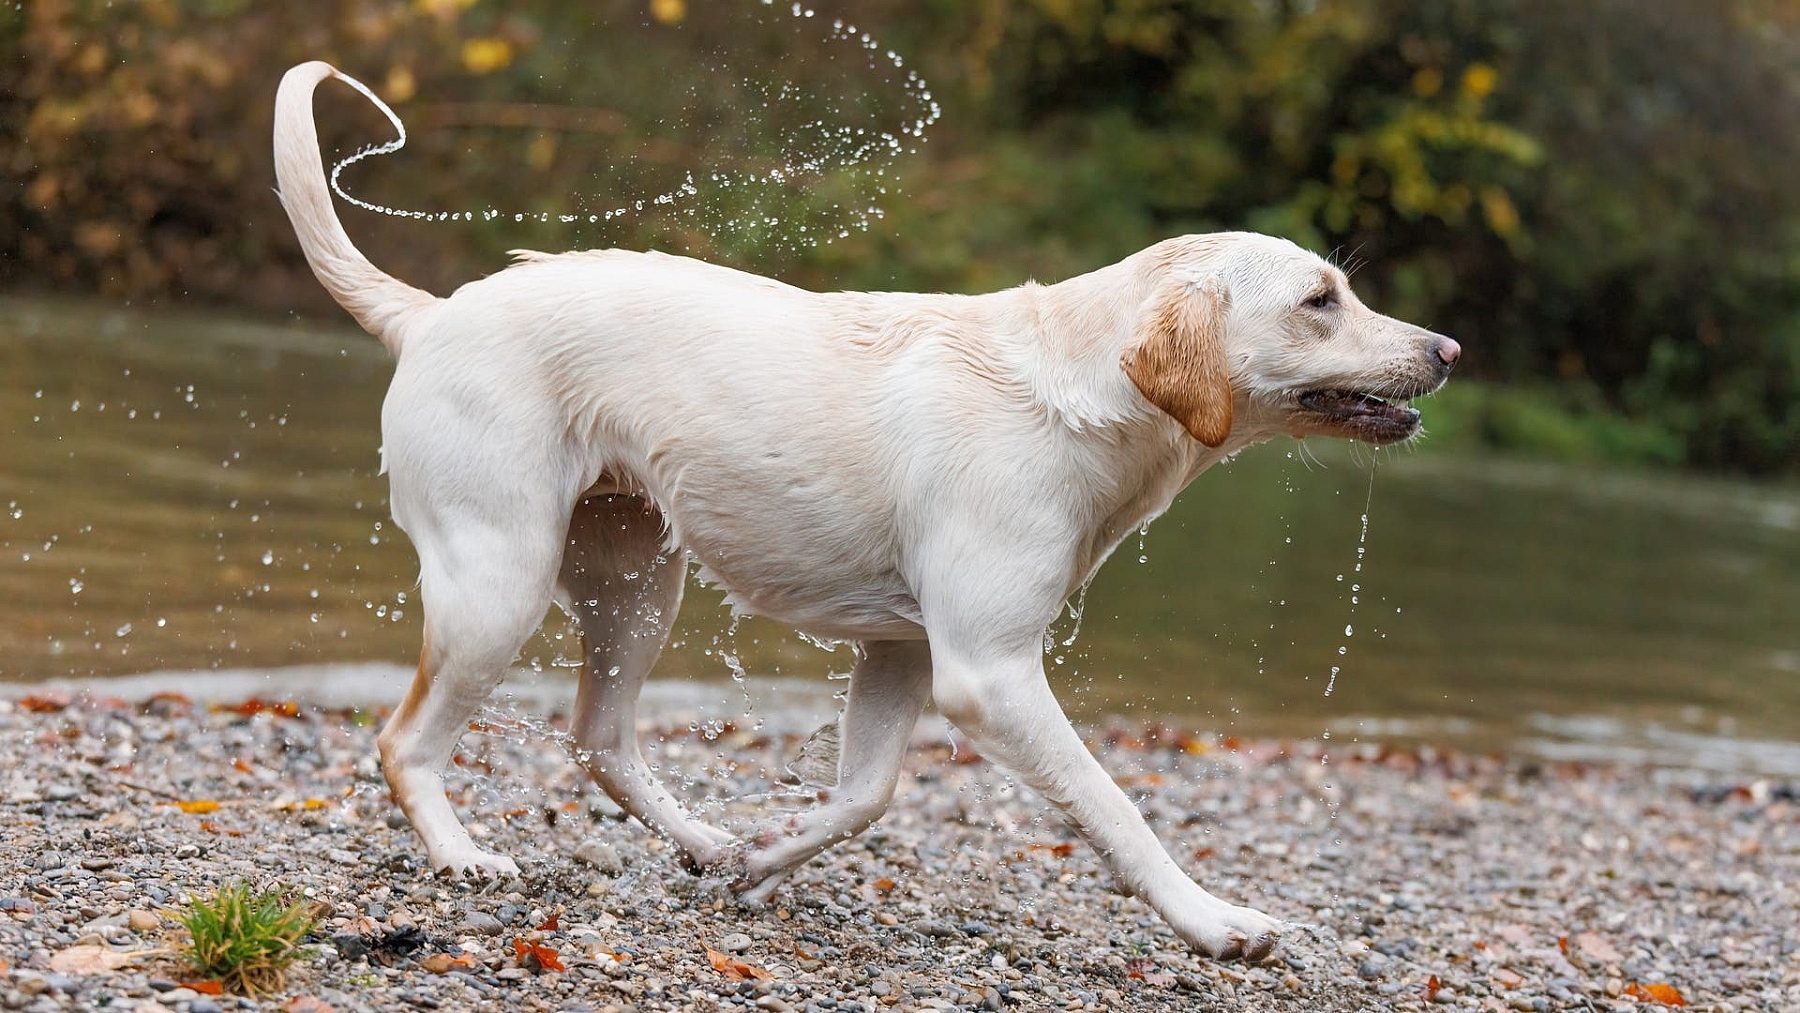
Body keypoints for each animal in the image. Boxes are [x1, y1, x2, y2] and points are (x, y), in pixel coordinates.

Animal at [273, 59, 1454, 964]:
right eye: (1320, 301)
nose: (1447, 349)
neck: (1079, 390)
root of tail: (429, 314)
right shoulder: (987, 671)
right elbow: (1114, 805)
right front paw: (1215, 921)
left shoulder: (904, 651)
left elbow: (865, 796)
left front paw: (757, 863)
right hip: (501, 580)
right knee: (404, 740)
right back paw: (460, 851)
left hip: (633, 582)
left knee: (599, 738)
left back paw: (703, 838)